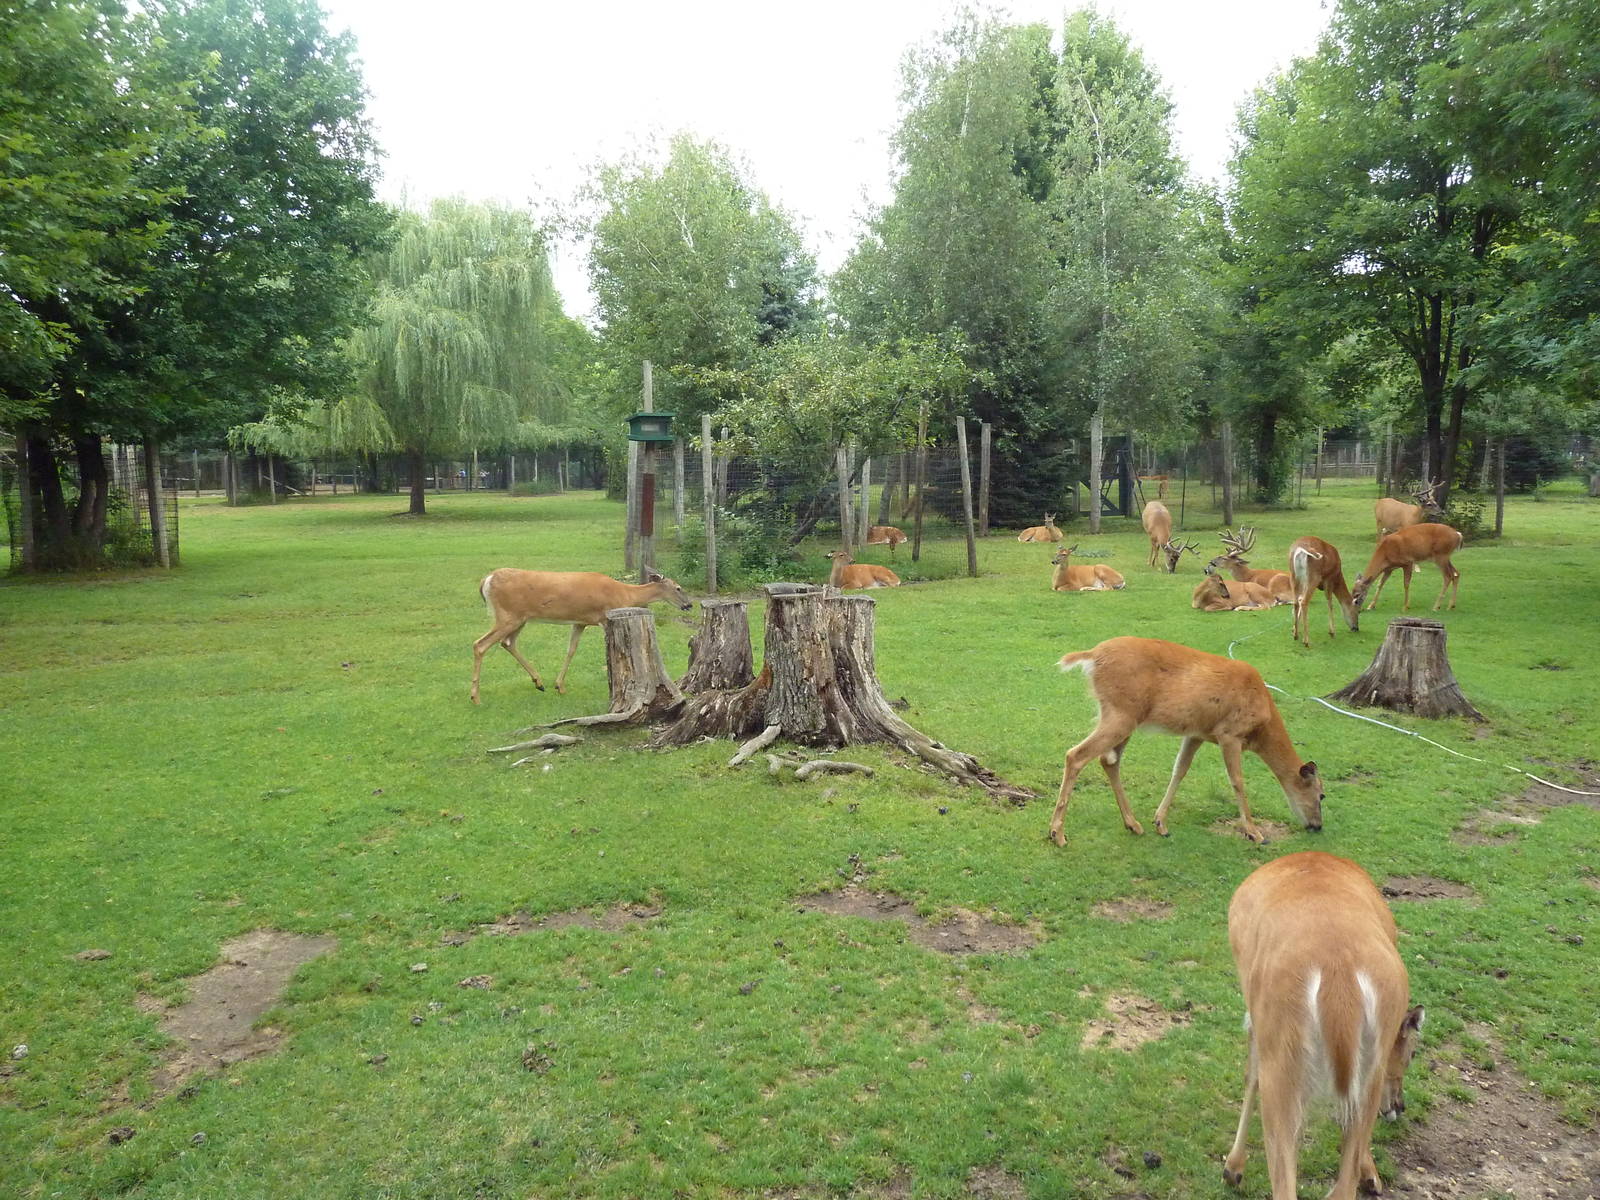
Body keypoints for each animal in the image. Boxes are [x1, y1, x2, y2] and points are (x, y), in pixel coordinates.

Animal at [470, 567, 694, 703]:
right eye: (678, 588)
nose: (689, 605)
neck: (625, 595)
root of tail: (486, 580)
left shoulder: (580, 622)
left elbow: (571, 650)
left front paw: (559, 686)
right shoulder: (605, 617)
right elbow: (609, 652)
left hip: (519, 618)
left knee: (507, 643)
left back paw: (539, 683)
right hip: (508, 615)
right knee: (480, 644)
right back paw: (476, 698)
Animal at [1050, 636, 1324, 846]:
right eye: (1321, 795)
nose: (1318, 826)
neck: (1262, 724)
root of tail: (1093, 655)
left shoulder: (1196, 733)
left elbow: (1180, 770)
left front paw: (1160, 822)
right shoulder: (1230, 733)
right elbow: (1237, 780)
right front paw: (1254, 833)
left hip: (1122, 716)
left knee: (1109, 761)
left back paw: (1133, 824)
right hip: (1121, 714)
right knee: (1076, 755)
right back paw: (1057, 834)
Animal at [1224, 851, 1425, 1200]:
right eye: (1412, 1053)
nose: (1399, 1106)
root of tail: (1338, 974)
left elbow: (1250, 1074)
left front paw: (1232, 1169)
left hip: (1282, 1051)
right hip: (1363, 1071)